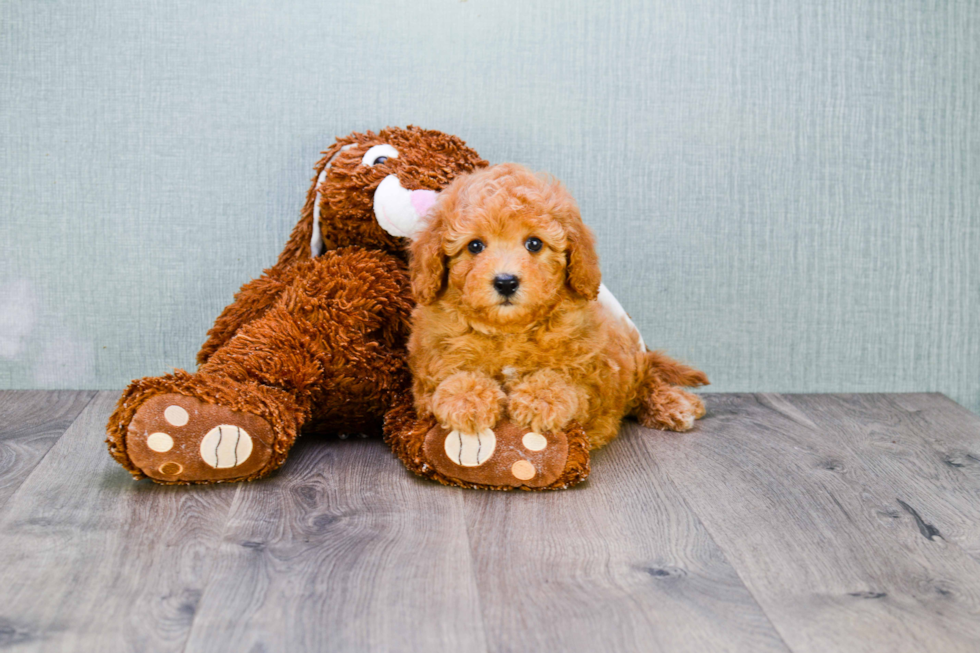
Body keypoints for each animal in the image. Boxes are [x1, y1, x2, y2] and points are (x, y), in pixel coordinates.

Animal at [406, 163, 704, 448]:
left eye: (534, 243)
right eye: (475, 246)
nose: (506, 282)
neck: (509, 330)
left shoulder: (594, 374)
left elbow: (566, 381)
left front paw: (541, 398)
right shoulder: (428, 372)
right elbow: (450, 377)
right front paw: (467, 398)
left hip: (629, 355)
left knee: (646, 380)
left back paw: (677, 404)